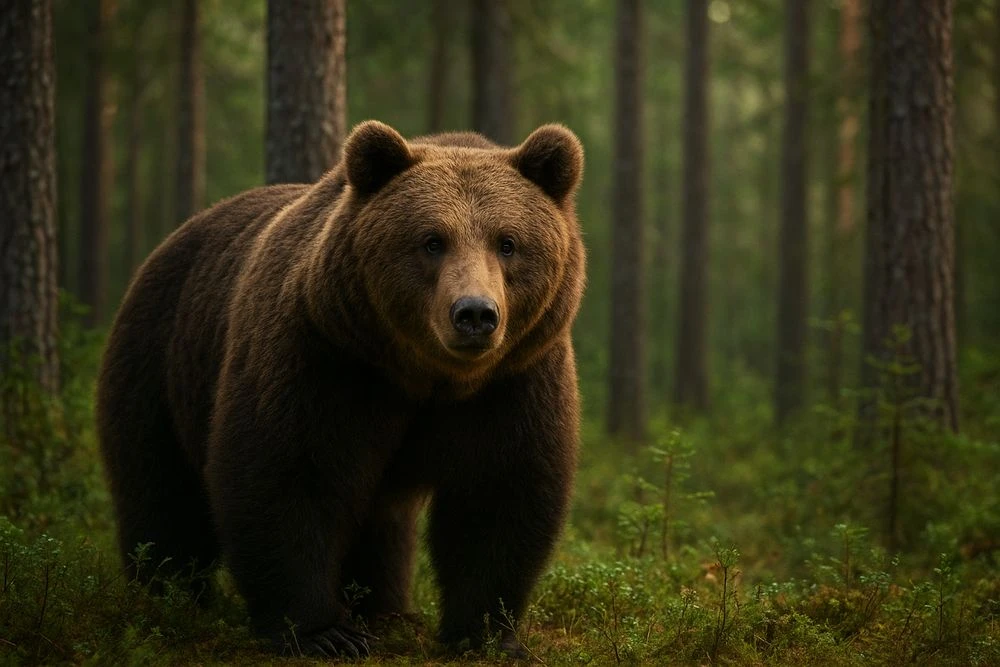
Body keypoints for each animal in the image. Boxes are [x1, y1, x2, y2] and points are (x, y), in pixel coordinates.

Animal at [96, 120, 586, 658]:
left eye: (508, 242)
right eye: (432, 241)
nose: (475, 313)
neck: (427, 377)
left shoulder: (514, 380)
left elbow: (499, 496)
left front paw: (487, 636)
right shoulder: (326, 357)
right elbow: (287, 474)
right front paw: (324, 632)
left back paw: (384, 609)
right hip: (161, 359)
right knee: (162, 490)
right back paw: (169, 596)